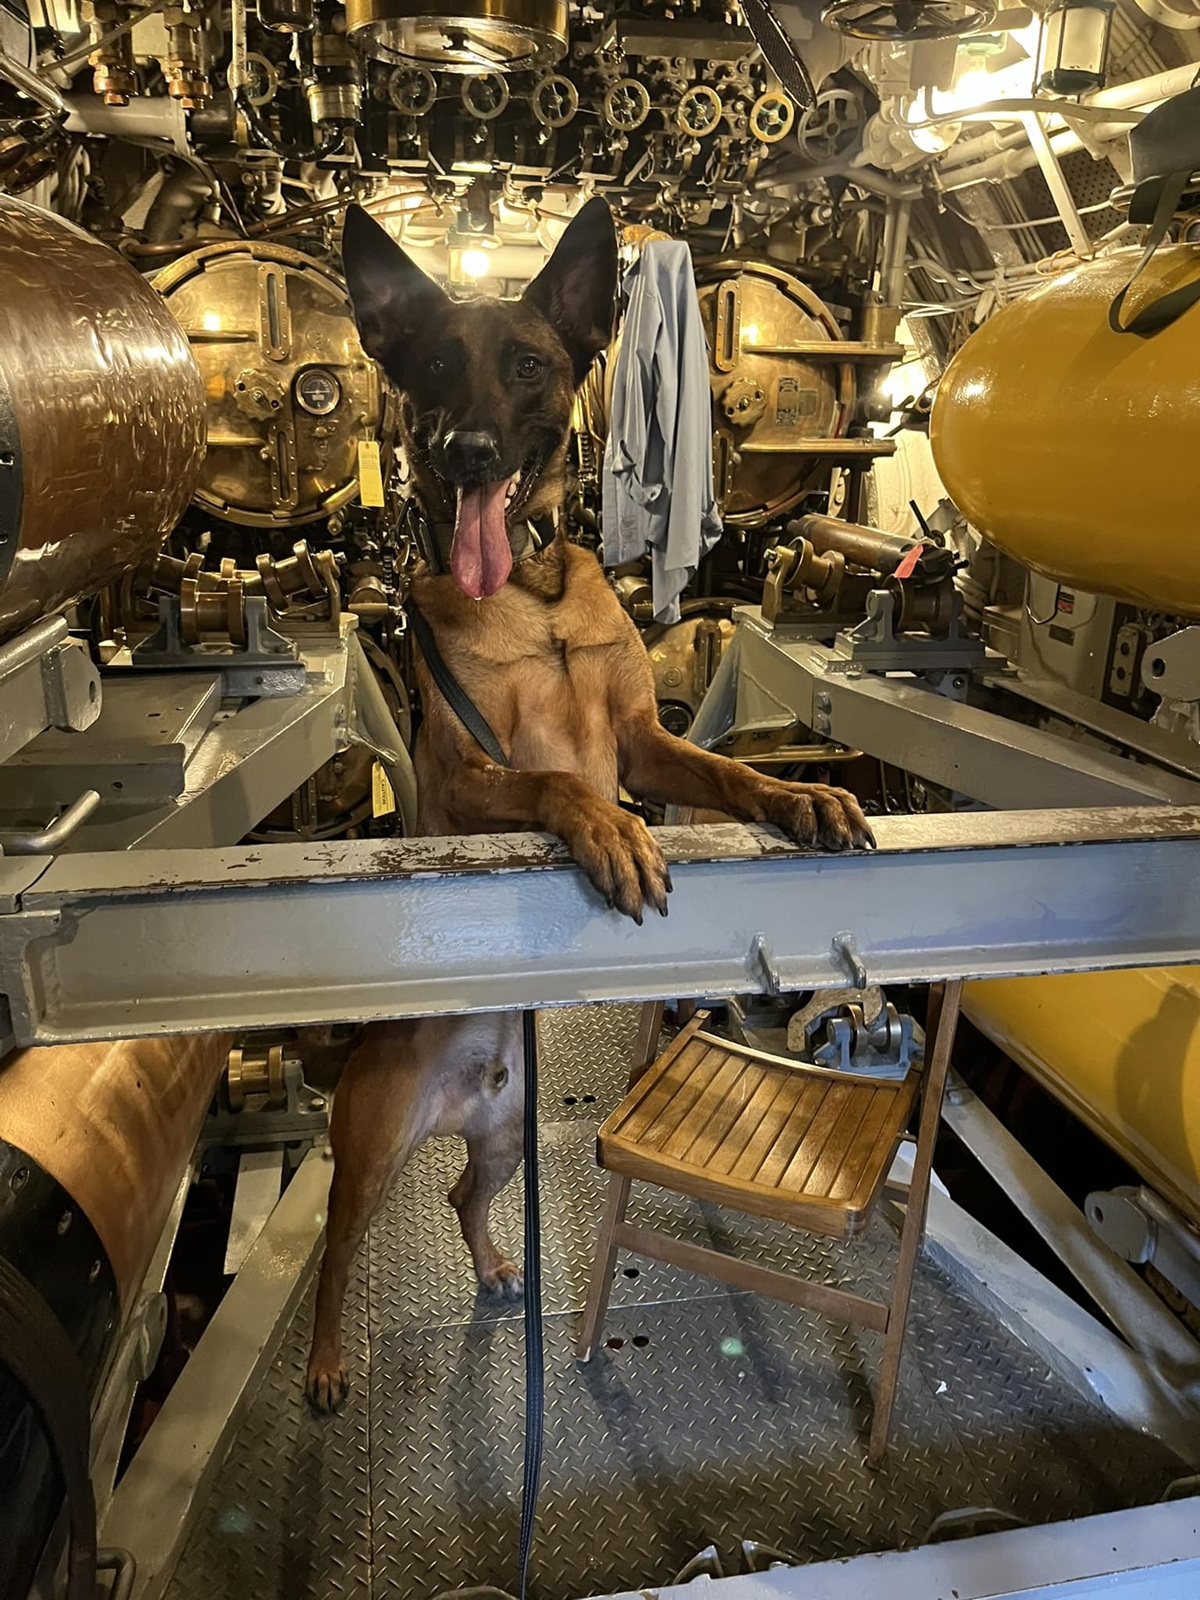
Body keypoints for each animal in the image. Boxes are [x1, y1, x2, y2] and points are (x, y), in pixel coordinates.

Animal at [305, 193, 876, 1408]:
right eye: (432, 366)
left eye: (526, 366)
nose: (465, 449)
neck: (531, 588)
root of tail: (463, 1082)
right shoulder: (468, 778)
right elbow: (557, 777)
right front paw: (613, 834)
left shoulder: (646, 744)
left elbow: (722, 772)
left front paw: (800, 797)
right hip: (369, 1154)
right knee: (339, 1250)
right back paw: (327, 1364)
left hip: (507, 1138)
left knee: (462, 1195)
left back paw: (493, 1266)